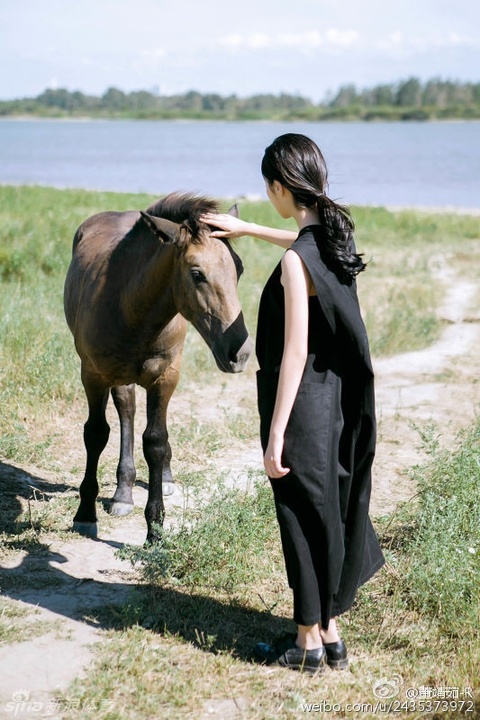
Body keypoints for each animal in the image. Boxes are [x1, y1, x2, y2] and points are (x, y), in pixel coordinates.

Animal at [65, 191, 253, 540]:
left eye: (240, 269)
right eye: (197, 274)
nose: (241, 352)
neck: (130, 308)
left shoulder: (165, 377)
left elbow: (156, 442)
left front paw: (155, 530)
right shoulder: (92, 376)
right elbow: (96, 434)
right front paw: (85, 514)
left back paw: (158, 481)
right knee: (126, 409)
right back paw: (122, 492)